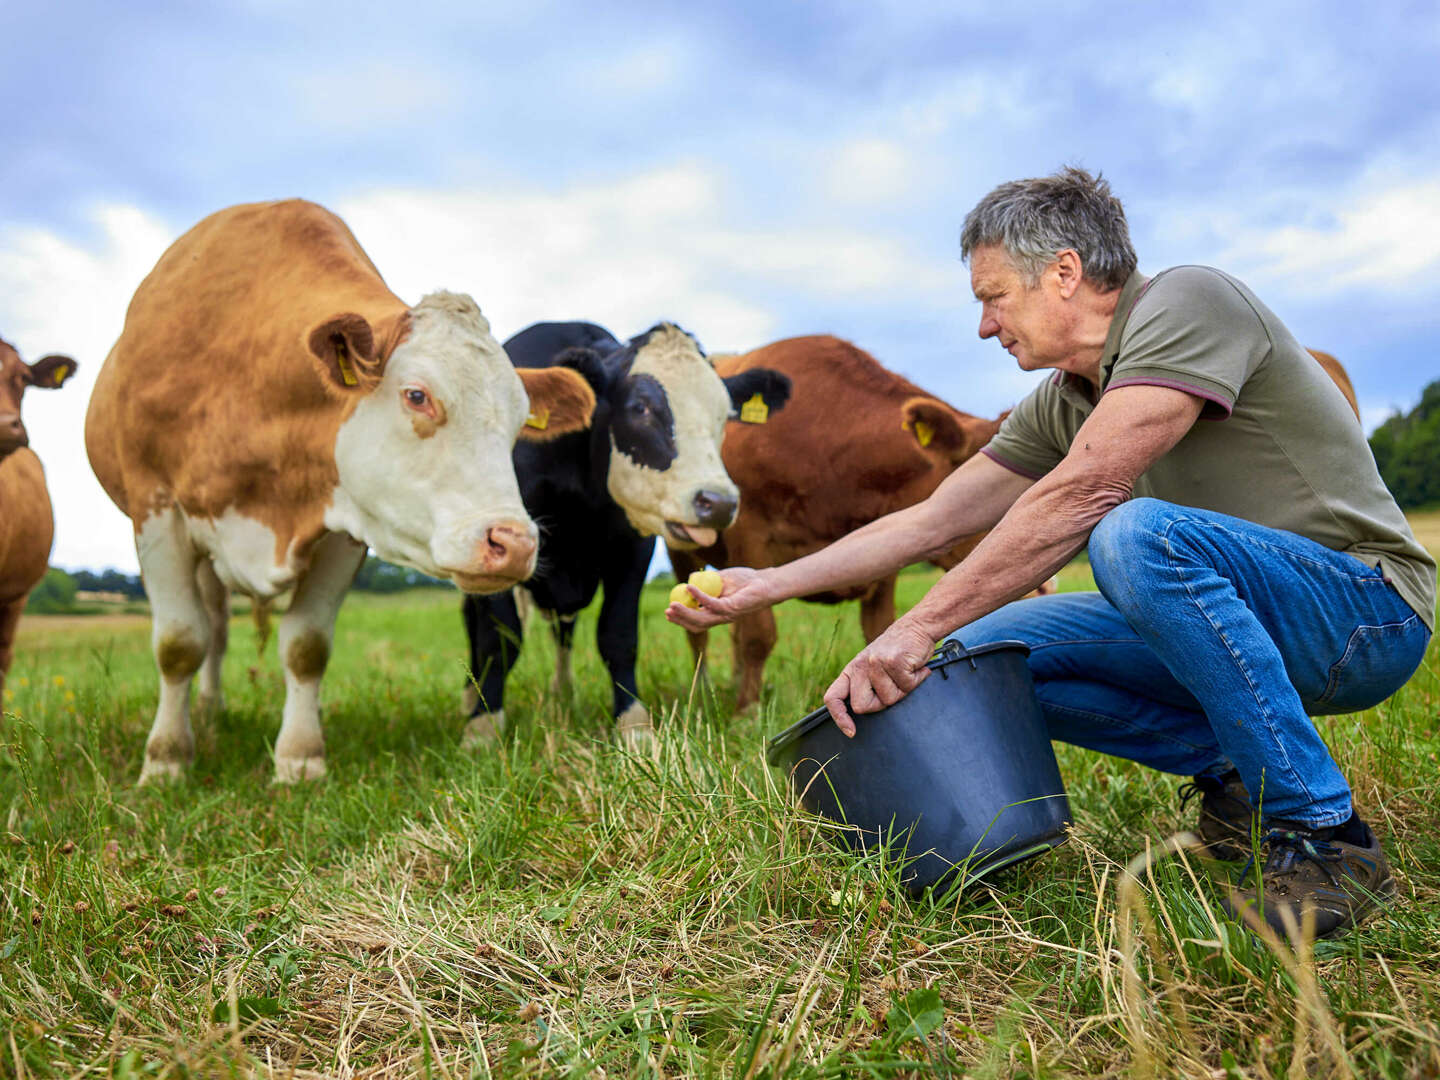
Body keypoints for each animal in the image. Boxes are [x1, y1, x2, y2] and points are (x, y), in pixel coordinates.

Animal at [85, 198, 596, 783]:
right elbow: (178, 643)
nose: (513, 543)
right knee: (212, 625)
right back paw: (209, 712)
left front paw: (299, 758)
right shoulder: (156, 509)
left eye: (518, 423)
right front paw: (166, 762)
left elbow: (307, 645)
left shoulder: (344, 526)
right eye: (417, 395)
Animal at [460, 316, 794, 748]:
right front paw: (483, 727)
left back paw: (562, 692)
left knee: (564, 632)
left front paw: (634, 725)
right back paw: (472, 699)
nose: (718, 502)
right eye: (640, 408)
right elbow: (500, 637)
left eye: (724, 415)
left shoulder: (635, 548)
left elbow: (618, 635)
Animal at [668, 334, 1008, 714]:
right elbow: (758, 633)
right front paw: (748, 711)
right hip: (682, 547)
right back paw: (702, 692)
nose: (1043, 587)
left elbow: (878, 628)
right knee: (699, 636)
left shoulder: (884, 554)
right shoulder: (748, 534)